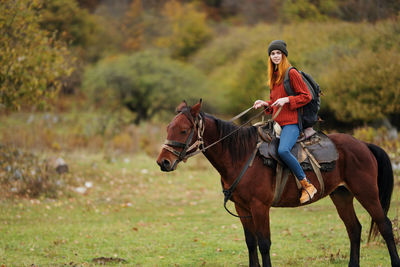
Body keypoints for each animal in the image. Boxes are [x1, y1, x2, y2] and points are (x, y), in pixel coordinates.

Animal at [156, 101, 400, 267]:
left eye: (184, 130)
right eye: (168, 127)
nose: (163, 162)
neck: (241, 156)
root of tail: (364, 145)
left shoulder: (259, 207)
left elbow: (264, 243)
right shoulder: (242, 207)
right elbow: (251, 242)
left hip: (367, 193)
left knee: (385, 226)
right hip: (341, 195)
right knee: (354, 229)